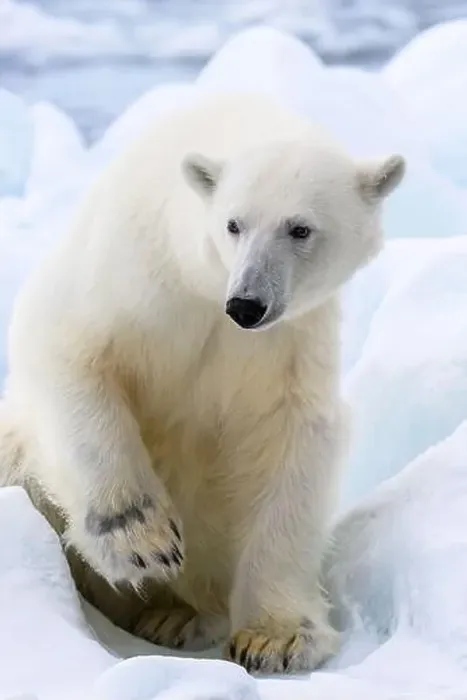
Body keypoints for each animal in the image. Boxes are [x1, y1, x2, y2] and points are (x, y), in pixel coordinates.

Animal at [0, 91, 405, 674]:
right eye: (234, 224)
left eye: (300, 228)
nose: (247, 304)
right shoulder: (129, 277)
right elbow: (71, 354)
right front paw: (142, 540)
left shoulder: (286, 344)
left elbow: (291, 440)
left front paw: (276, 637)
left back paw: (180, 617)